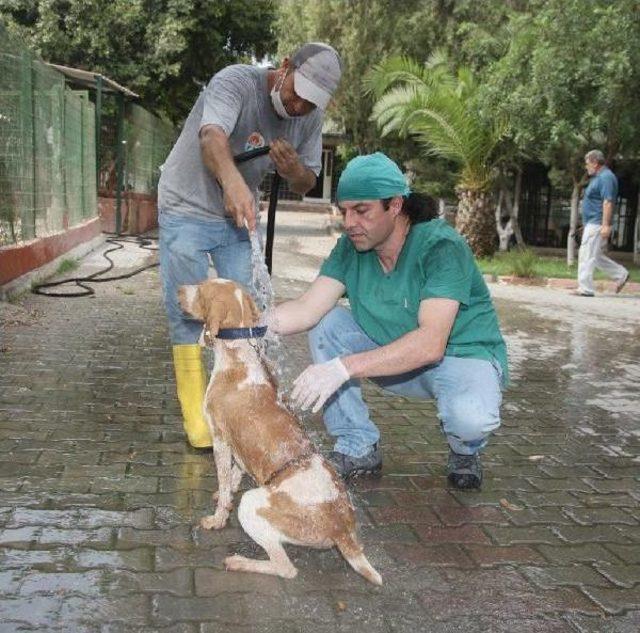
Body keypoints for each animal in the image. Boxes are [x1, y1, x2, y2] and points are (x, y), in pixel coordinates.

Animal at [178, 278, 382, 584]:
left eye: (201, 290)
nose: (178, 290)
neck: (239, 357)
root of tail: (342, 529)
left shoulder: (220, 437)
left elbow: (225, 481)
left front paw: (217, 518)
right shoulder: (237, 445)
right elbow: (237, 471)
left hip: (252, 504)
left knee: (286, 568)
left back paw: (241, 562)